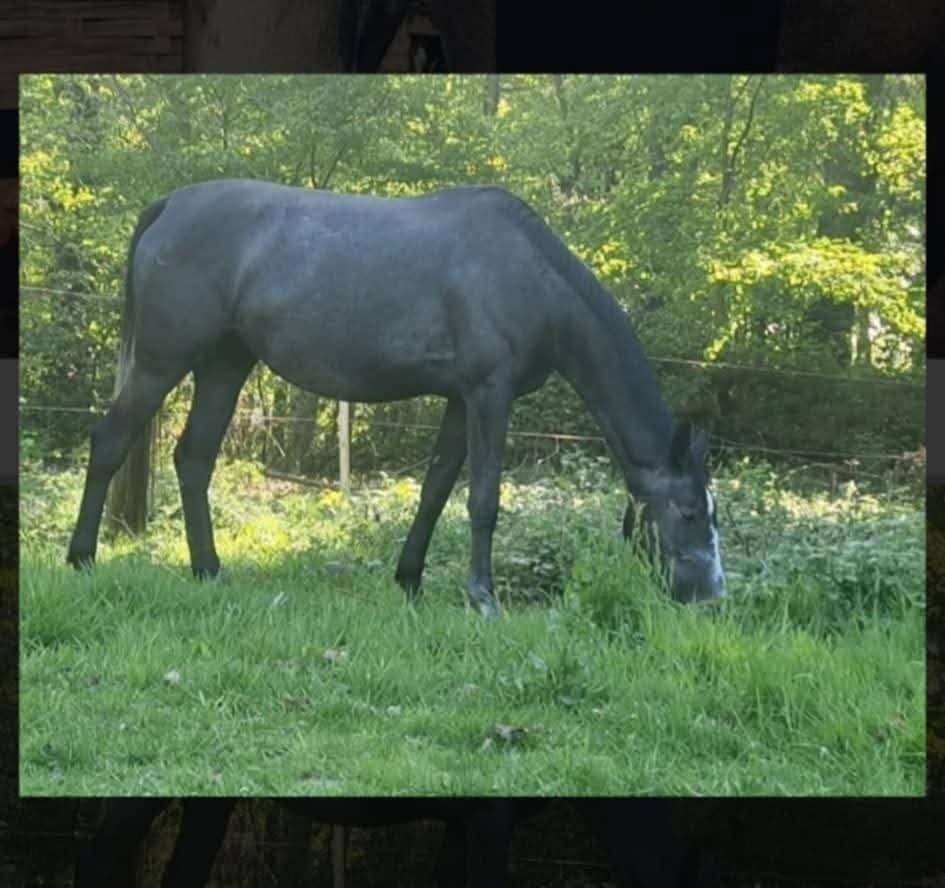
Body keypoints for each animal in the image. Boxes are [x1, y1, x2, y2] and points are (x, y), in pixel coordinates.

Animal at [66, 181, 726, 616]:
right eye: (692, 512)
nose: (712, 597)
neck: (528, 272)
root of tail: (171, 205)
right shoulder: (489, 396)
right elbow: (484, 499)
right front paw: (483, 599)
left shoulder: (461, 401)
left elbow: (436, 491)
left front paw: (409, 580)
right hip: (161, 362)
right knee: (110, 443)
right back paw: (80, 560)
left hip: (225, 366)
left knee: (194, 459)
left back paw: (208, 571)